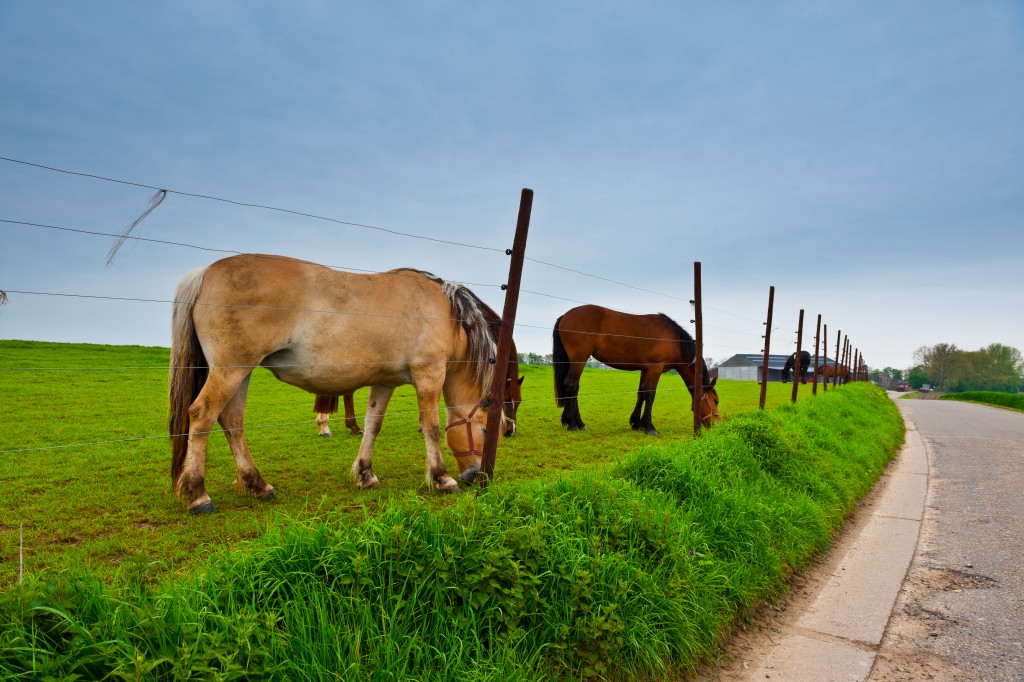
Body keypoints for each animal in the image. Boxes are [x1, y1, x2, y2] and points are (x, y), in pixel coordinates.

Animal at [169, 253, 509, 509]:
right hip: (231, 370)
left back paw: (258, 484)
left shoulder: (384, 383)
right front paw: (441, 478)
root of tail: (204, 273)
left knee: (232, 422)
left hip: (241, 372)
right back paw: (199, 494)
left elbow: (373, 425)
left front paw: (366, 473)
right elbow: (432, 427)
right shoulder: (429, 375)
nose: (476, 476)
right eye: (483, 430)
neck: (446, 313)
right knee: (202, 415)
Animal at [552, 303, 720, 436]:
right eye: (716, 401)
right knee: (571, 385)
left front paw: (636, 423)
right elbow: (650, 395)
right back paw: (573, 424)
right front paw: (649, 427)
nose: (718, 425)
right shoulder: (655, 368)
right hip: (579, 360)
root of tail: (565, 316)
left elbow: (642, 394)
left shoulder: (645, 370)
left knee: (575, 388)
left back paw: (578, 423)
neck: (674, 340)